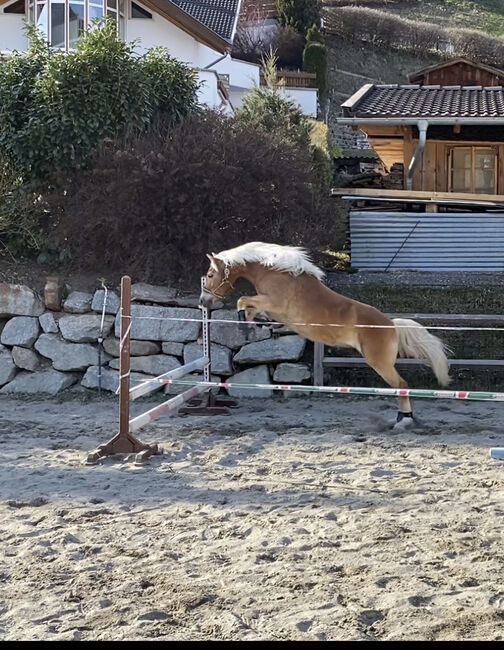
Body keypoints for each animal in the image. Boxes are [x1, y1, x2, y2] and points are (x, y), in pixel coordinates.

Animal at [199, 242, 450, 426]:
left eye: (210, 274)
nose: (203, 302)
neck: (275, 273)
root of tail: (391, 325)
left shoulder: (275, 304)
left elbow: (243, 301)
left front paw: (246, 323)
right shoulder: (269, 307)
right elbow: (251, 309)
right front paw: (257, 325)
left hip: (379, 363)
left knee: (402, 384)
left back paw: (403, 420)